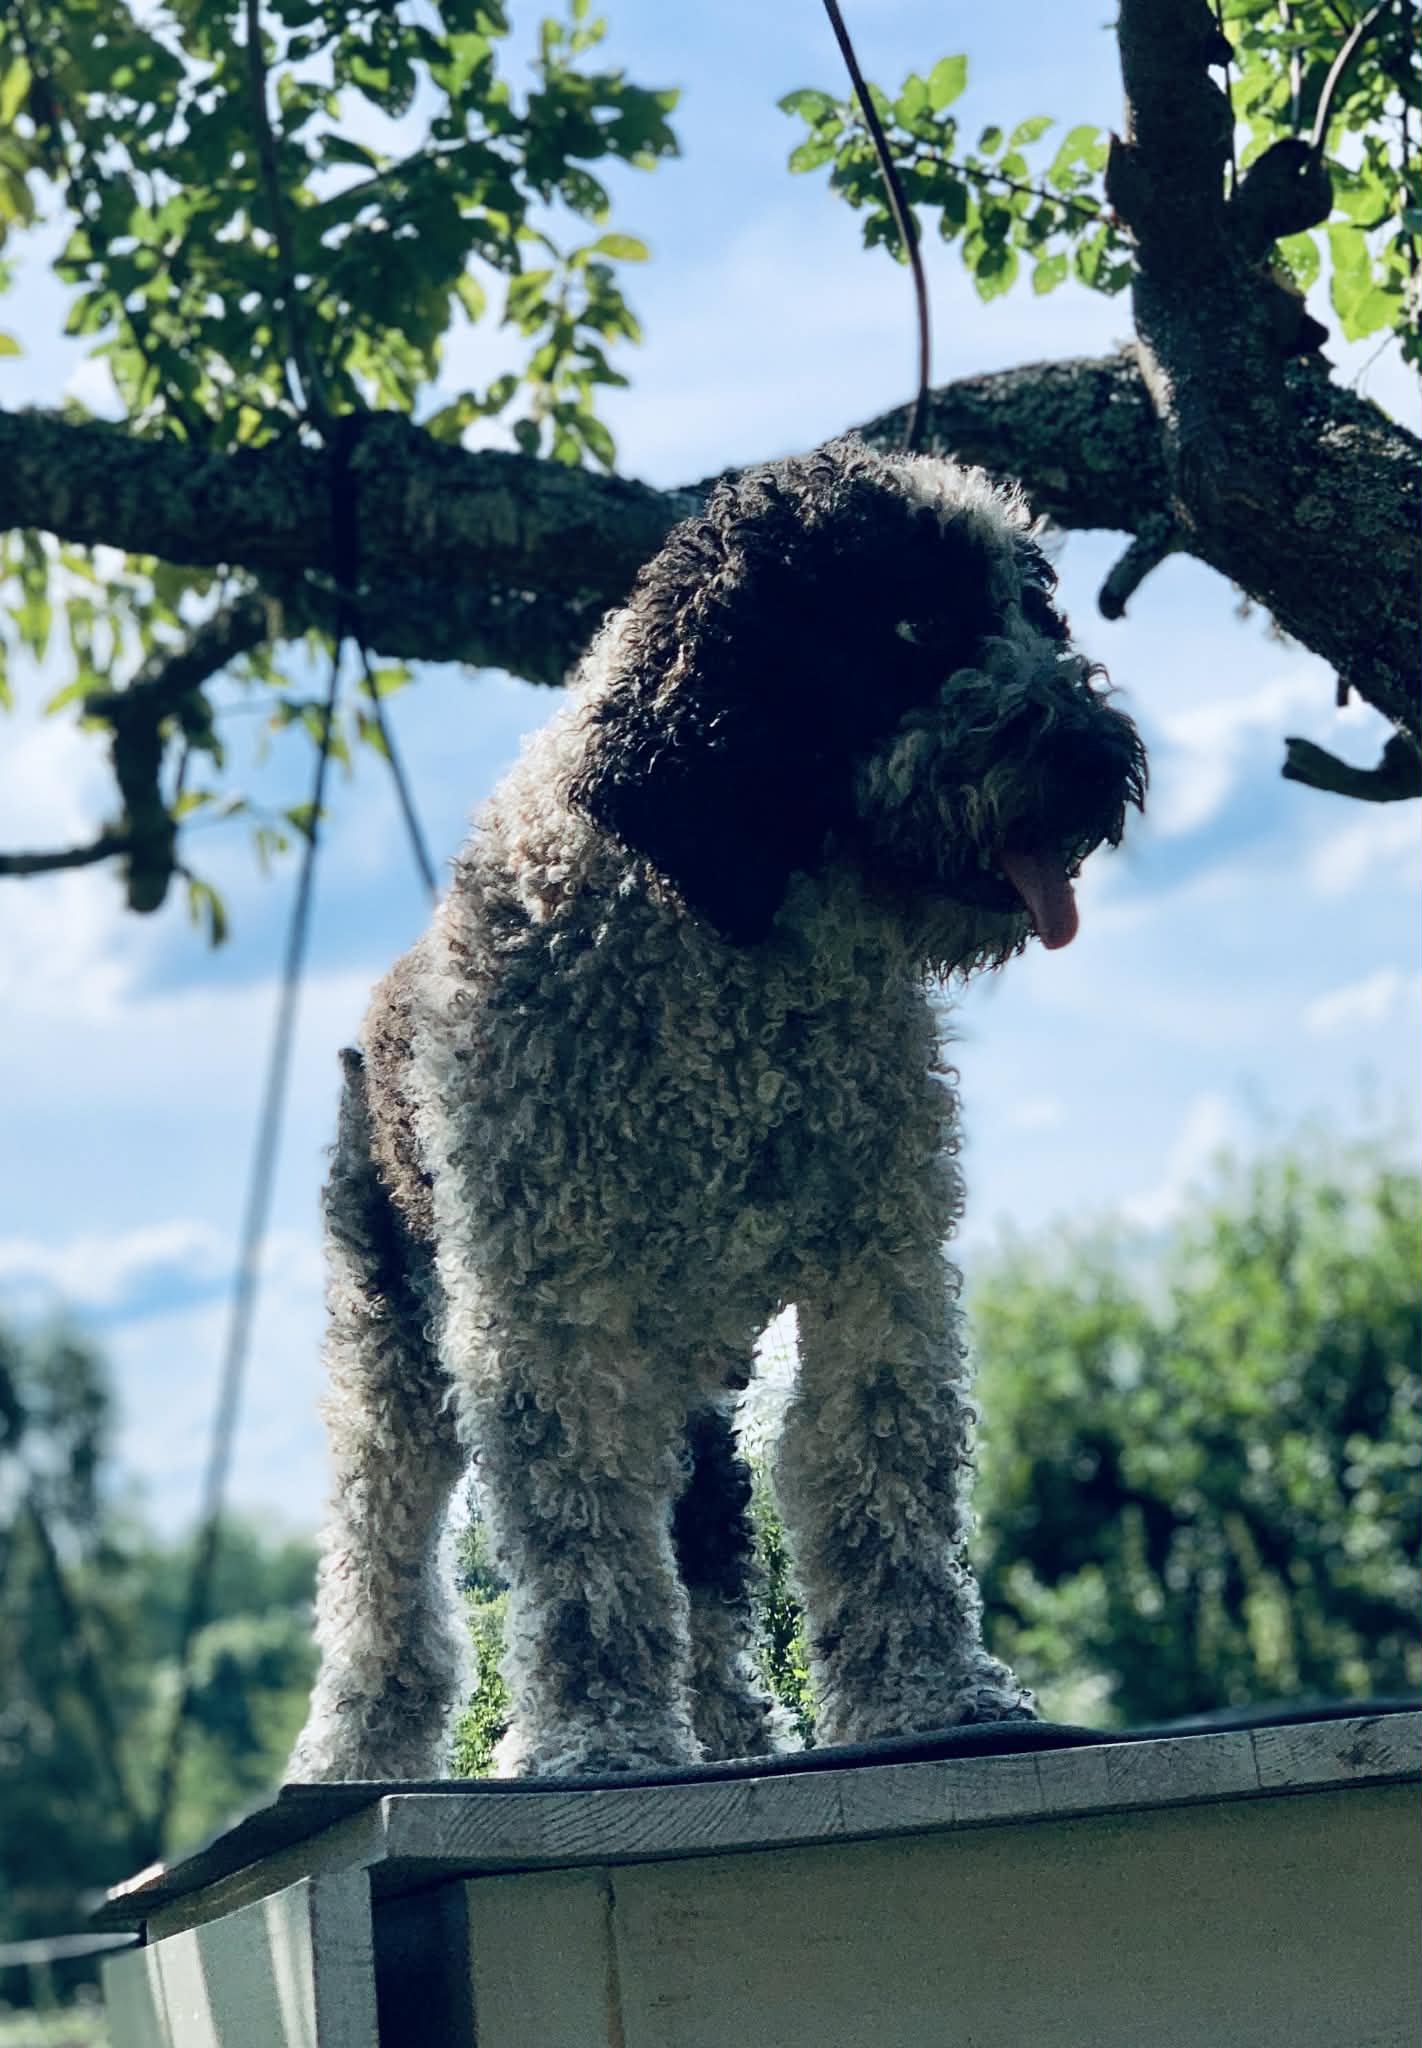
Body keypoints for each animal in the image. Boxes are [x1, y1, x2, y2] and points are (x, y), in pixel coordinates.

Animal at [287, 437, 1146, 1781]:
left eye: (1035, 613)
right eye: (908, 624)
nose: (1098, 757)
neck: (728, 941)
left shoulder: (877, 1267)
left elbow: (876, 1480)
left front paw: (929, 1694)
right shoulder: (550, 1318)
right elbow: (586, 1547)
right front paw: (597, 1737)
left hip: (687, 1380)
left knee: (699, 1551)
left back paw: (732, 1726)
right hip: (392, 1351)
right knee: (382, 1563)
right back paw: (357, 1749)